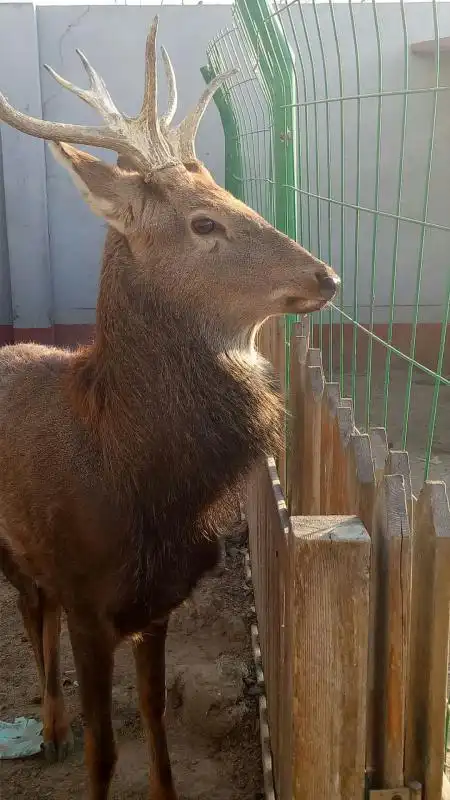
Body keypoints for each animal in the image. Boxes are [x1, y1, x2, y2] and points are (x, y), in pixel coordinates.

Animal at [0, 18, 339, 800]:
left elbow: (155, 716)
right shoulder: (88, 598)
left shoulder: (157, 604)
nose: (326, 276)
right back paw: (52, 728)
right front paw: (85, 746)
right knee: (32, 617)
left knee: (38, 619)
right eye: (204, 223)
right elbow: (104, 752)